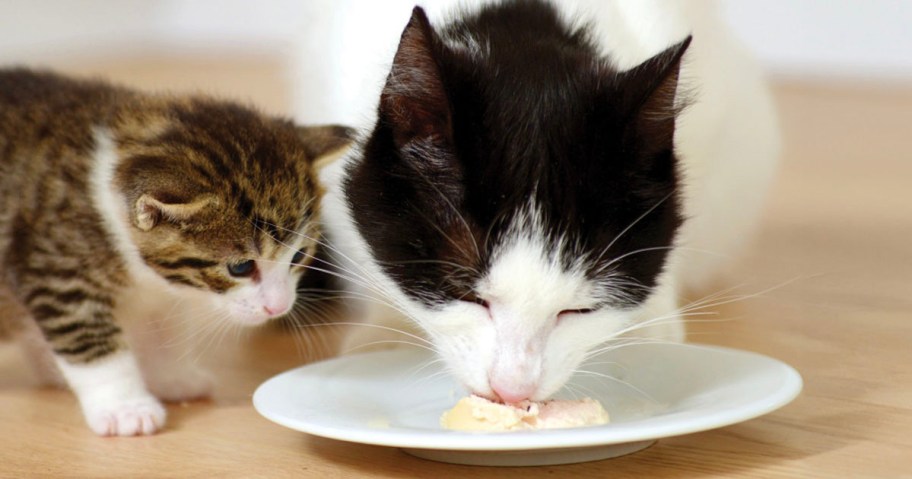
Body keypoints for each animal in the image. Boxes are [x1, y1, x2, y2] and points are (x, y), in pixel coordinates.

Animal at [0, 68, 352, 436]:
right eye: (241, 268)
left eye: (297, 257)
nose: (279, 307)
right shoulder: (58, 272)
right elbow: (91, 343)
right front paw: (125, 407)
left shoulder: (163, 289)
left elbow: (164, 327)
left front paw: (170, 377)